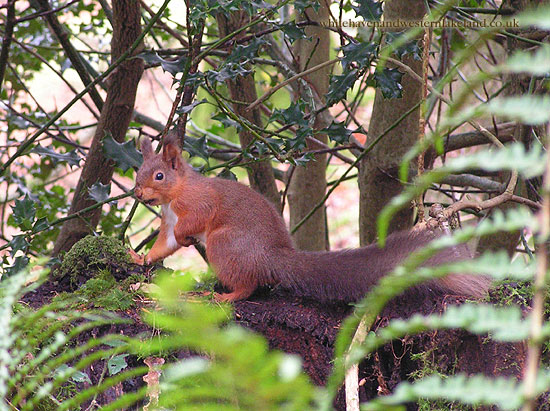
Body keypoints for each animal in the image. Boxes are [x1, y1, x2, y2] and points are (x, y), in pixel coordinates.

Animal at [129, 135, 492, 302]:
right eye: (138, 171)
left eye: (159, 175)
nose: (137, 193)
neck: (173, 198)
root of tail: (272, 257)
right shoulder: (168, 222)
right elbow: (164, 246)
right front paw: (139, 257)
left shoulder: (198, 204)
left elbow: (195, 221)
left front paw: (187, 236)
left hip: (224, 244)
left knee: (249, 284)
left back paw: (227, 295)